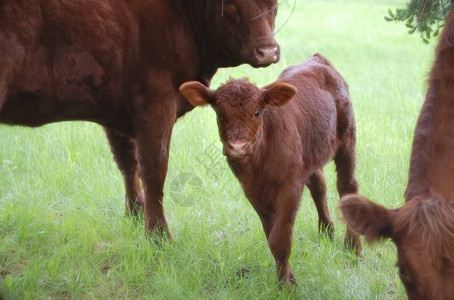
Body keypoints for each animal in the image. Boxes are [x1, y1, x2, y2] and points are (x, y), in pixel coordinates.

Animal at [0, 0, 280, 239]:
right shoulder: (156, 103)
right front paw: (158, 236)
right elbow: (154, 170)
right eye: (229, 3)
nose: (267, 51)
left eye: (273, 2)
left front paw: (135, 214)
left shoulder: (115, 109)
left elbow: (127, 162)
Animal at [179, 52, 360, 284]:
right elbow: (271, 236)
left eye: (257, 113)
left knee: (347, 186)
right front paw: (287, 278)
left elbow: (280, 239)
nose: (237, 147)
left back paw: (353, 247)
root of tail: (317, 59)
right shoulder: (253, 191)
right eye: (219, 113)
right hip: (310, 153)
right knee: (319, 185)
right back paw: (327, 231)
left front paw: (286, 285)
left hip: (347, 138)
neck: (259, 166)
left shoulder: (290, 187)